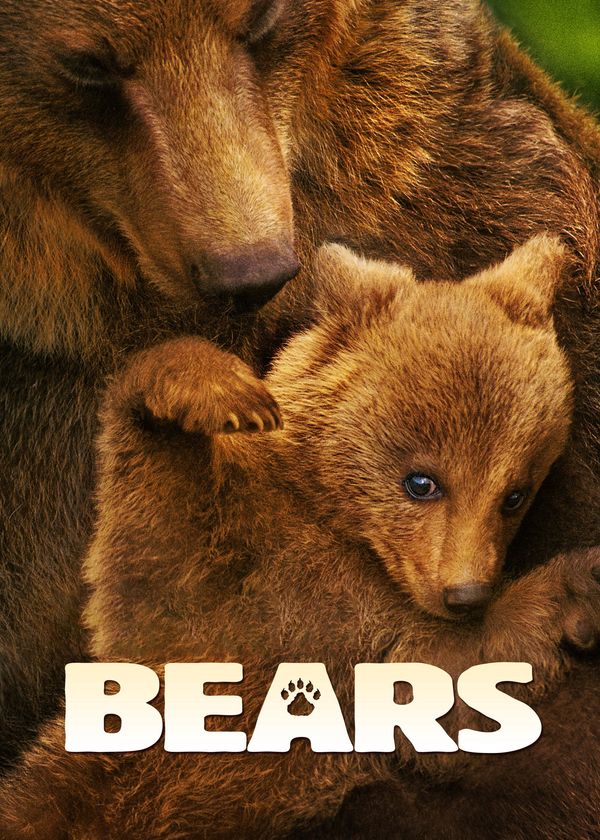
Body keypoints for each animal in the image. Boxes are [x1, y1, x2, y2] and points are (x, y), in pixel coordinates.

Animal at [2, 239, 599, 839]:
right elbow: (150, 530)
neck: (334, 525)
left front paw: (577, 587)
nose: (465, 594)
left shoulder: (368, 648)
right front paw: (218, 390)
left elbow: (446, 677)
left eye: (515, 495)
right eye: (422, 481)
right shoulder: (215, 569)